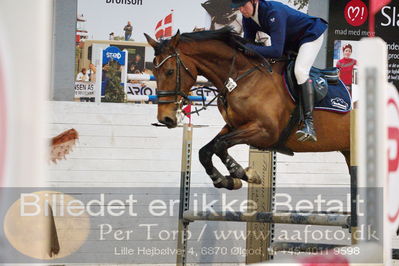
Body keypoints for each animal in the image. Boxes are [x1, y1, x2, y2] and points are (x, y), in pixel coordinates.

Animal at [145, 28, 350, 190]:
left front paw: (241, 173)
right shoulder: (234, 126)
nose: (165, 118)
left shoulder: (265, 132)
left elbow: (219, 145)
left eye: (170, 71)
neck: (240, 77)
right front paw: (228, 179)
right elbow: (207, 150)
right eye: (154, 72)